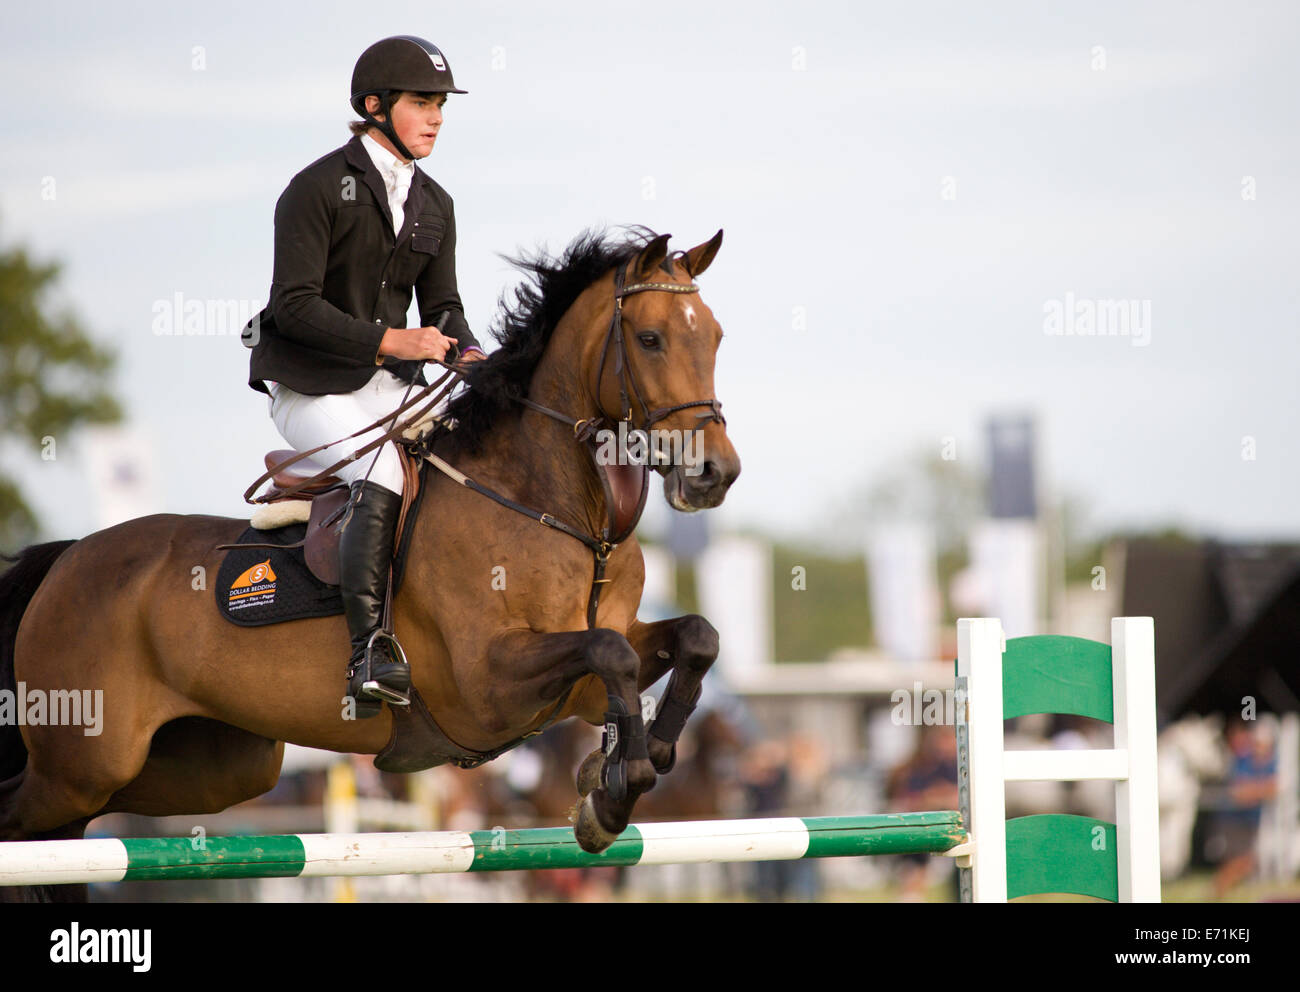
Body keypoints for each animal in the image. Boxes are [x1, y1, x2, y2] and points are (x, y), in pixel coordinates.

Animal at [0, 226, 740, 901]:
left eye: (716, 338)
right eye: (650, 339)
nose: (715, 474)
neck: (560, 513)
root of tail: (68, 559)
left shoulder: (577, 689)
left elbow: (692, 638)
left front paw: (623, 767)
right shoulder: (487, 686)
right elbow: (611, 650)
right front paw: (615, 791)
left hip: (202, 769)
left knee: (67, 834)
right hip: (85, 759)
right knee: (26, 818)